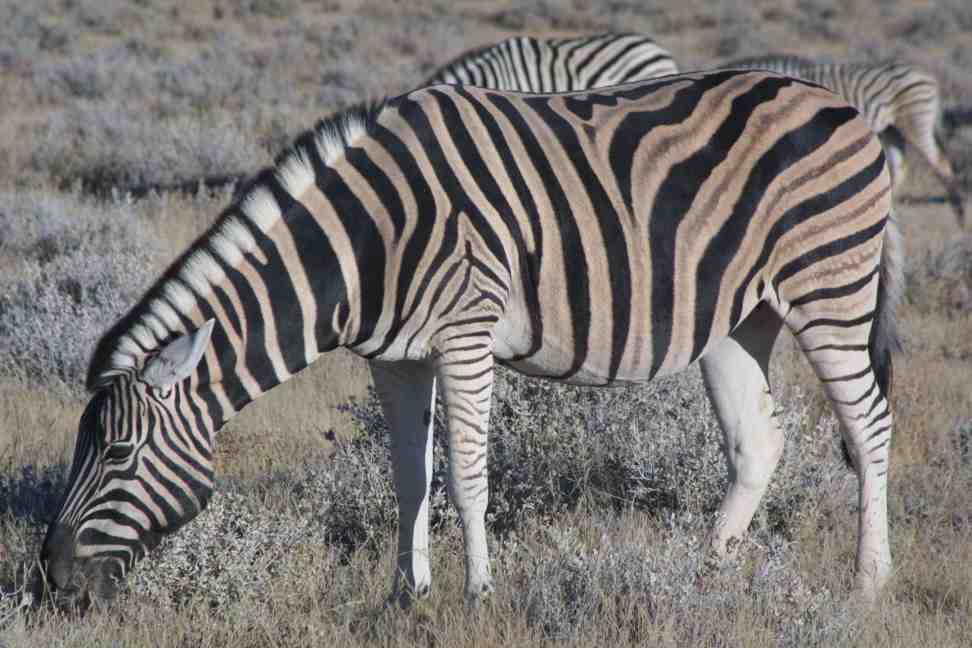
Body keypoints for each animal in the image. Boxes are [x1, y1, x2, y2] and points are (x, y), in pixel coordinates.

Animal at [41, 69, 900, 608]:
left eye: (119, 455)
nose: (51, 577)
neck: (367, 242)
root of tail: (842, 102)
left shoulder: (465, 334)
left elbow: (466, 477)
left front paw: (478, 594)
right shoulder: (394, 358)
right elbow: (408, 476)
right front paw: (407, 594)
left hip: (829, 286)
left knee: (869, 427)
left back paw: (869, 582)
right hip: (739, 316)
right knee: (758, 443)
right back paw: (704, 576)